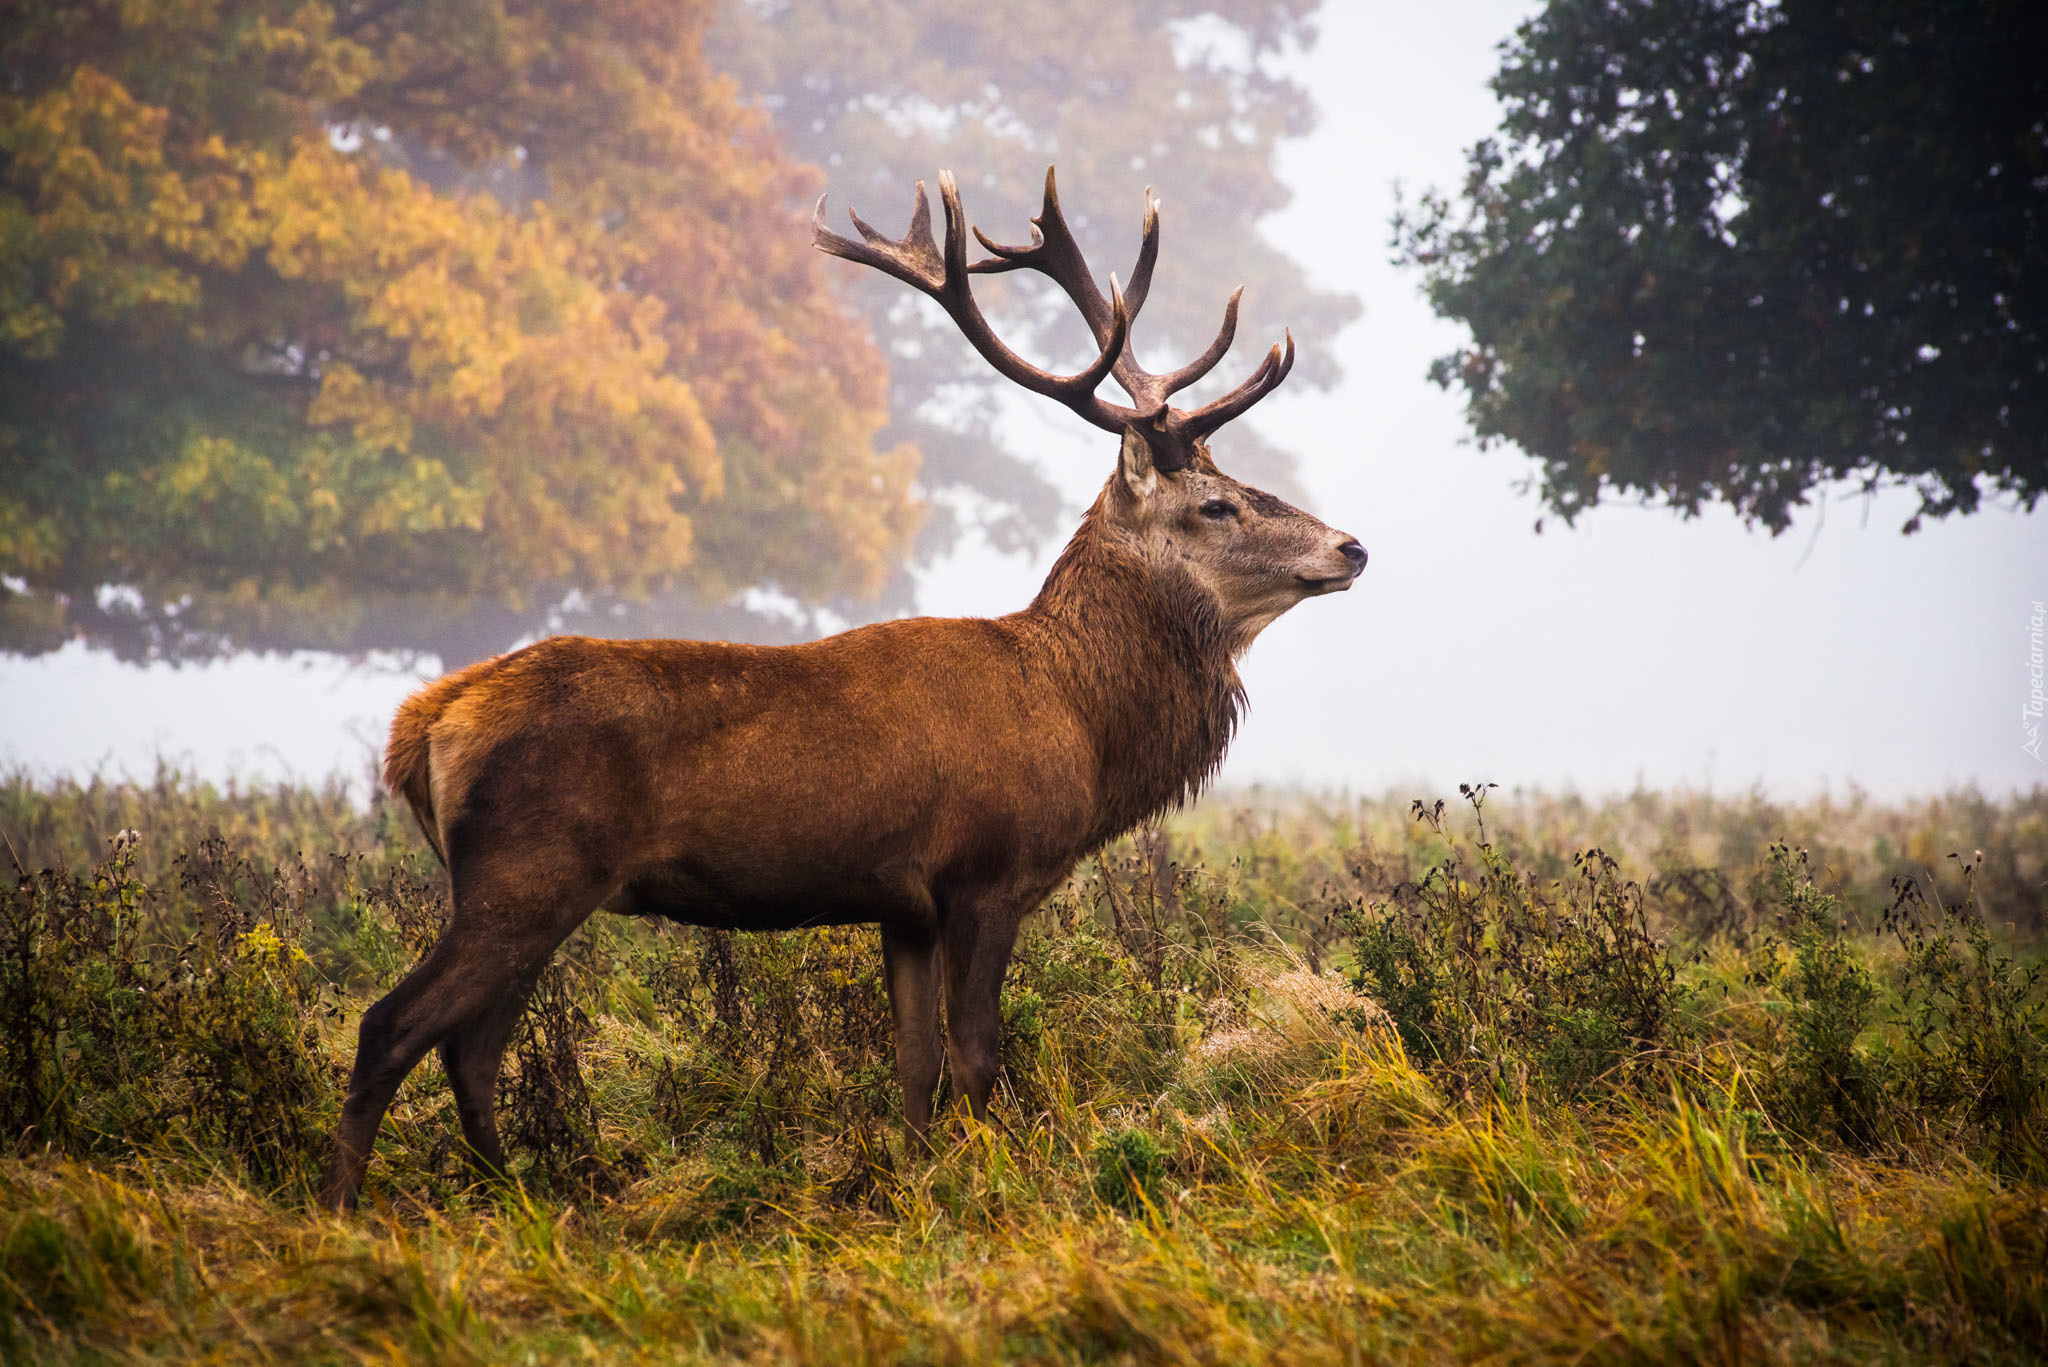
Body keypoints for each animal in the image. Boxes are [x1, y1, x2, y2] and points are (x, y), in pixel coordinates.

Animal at [319, 168, 1368, 1205]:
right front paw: (993, 1187)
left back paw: (527, 1199)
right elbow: (978, 1057)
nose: (1351, 546)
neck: (1078, 716)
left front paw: (915, 1188)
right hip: (524, 871)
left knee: (472, 1049)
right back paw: (345, 1212)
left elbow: (913, 1066)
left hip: (528, 888)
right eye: (1217, 504)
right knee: (392, 1027)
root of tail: (423, 725)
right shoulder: (984, 874)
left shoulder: (901, 904)